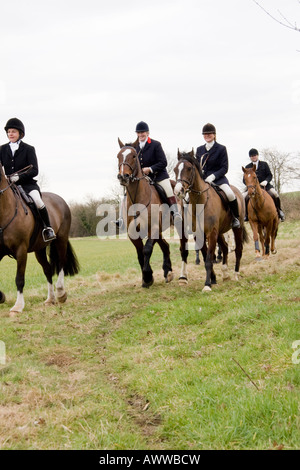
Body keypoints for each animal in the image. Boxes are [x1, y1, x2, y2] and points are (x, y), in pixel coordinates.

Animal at [0, 162, 79, 316]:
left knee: (61, 263)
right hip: (40, 249)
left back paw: (61, 293)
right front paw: (1, 297)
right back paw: (50, 299)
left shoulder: (21, 250)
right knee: (48, 269)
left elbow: (19, 279)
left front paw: (18, 306)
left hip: (61, 240)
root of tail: (59, 199)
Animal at [116, 138, 175, 288]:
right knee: (165, 246)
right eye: (118, 156)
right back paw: (168, 272)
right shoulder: (133, 233)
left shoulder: (152, 228)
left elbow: (147, 249)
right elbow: (140, 253)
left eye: (133, 156)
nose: (123, 176)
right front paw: (146, 278)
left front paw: (148, 276)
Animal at [173, 151, 248, 290]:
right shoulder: (199, 234)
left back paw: (236, 274)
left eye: (189, 168)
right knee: (225, 247)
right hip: (220, 232)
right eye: (175, 169)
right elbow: (205, 256)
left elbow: (208, 259)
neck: (200, 202)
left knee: (238, 249)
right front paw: (213, 279)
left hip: (237, 228)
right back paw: (225, 274)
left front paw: (207, 284)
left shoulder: (211, 233)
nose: (178, 191)